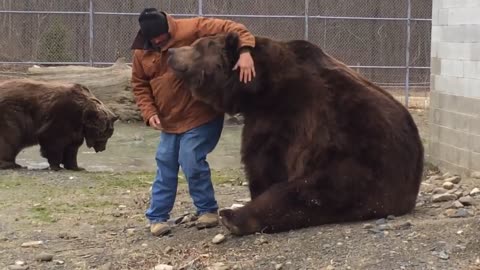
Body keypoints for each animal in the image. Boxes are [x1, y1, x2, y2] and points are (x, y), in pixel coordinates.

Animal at [166, 31, 424, 235]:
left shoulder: (283, 116)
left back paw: (232, 217)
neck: (258, 88)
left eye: (197, 46)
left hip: (357, 164)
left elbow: (262, 162)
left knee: (301, 194)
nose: (171, 51)